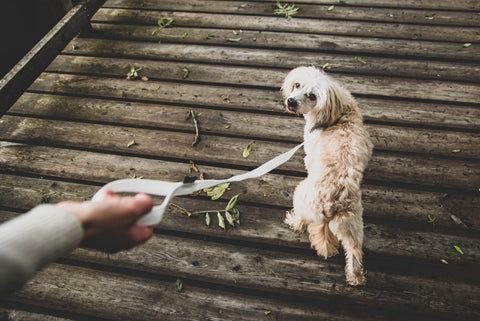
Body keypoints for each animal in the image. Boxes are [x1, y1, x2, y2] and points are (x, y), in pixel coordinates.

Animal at [284, 65, 374, 284]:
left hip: (301, 197)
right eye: (297, 84)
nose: (291, 101)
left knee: (301, 222)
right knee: (354, 251)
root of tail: (330, 204)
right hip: (351, 226)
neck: (340, 114)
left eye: (312, 96)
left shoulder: (309, 150)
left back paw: (293, 221)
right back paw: (355, 277)